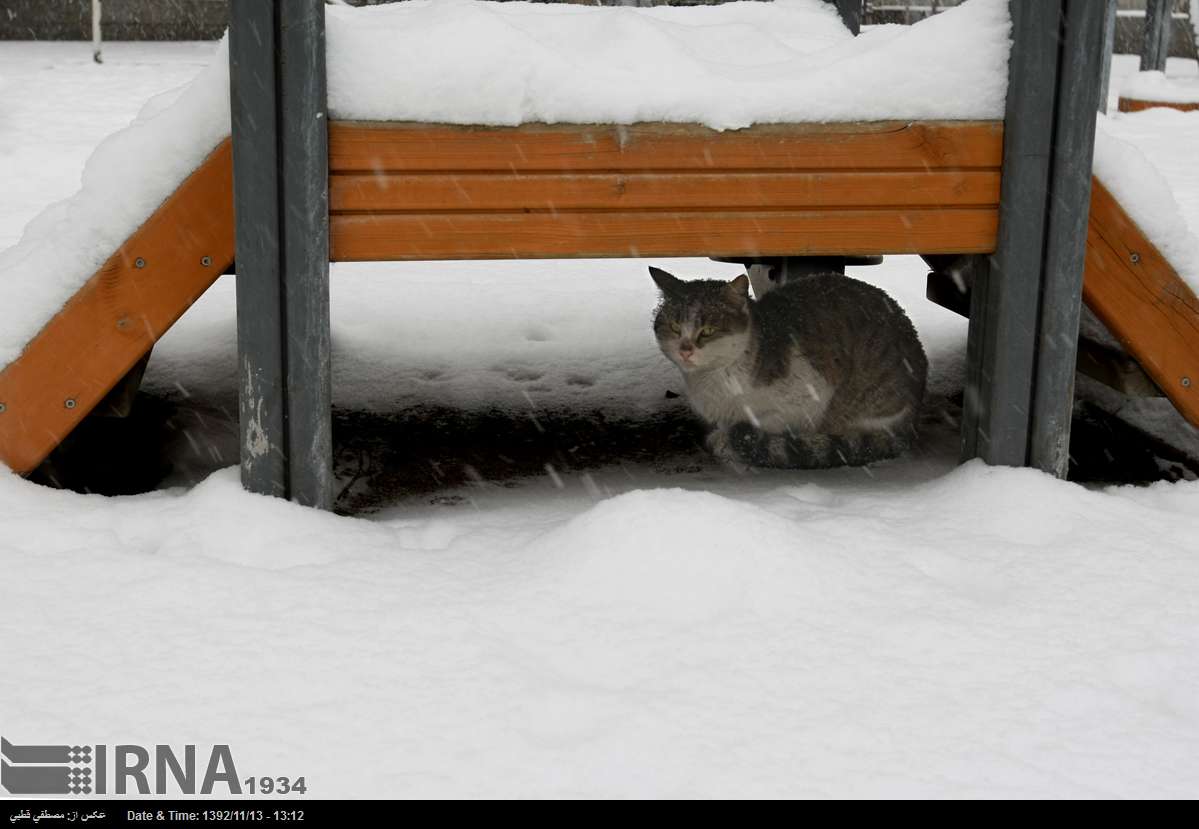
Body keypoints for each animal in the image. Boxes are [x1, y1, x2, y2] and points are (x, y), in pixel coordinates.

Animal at [652, 268, 930, 470]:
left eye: (708, 330)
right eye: (675, 327)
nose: (685, 349)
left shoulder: (810, 397)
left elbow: (765, 422)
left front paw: (726, 441)